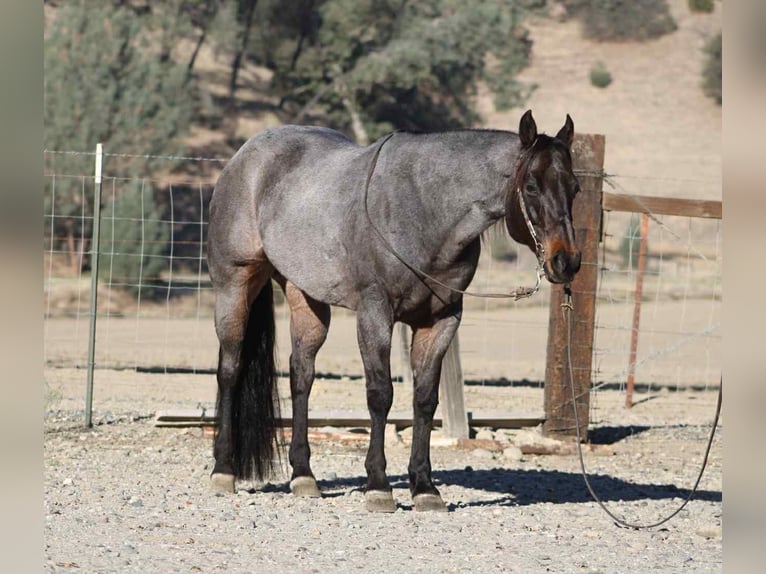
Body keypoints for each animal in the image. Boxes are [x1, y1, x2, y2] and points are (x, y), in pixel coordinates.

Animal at [206, 110, 582, 512]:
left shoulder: (442, 320)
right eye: (531, 186)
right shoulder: (375, 313)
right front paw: (378, 486)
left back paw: (303, 476)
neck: (425, 209)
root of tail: (246, 155)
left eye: (574, 188)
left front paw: (424, 487)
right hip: (234, 285)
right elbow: (380, 394)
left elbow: (425, 399)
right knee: (229, 369)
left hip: (305, 297)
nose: (567, 261)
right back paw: (224, 471)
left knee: (301, 375)